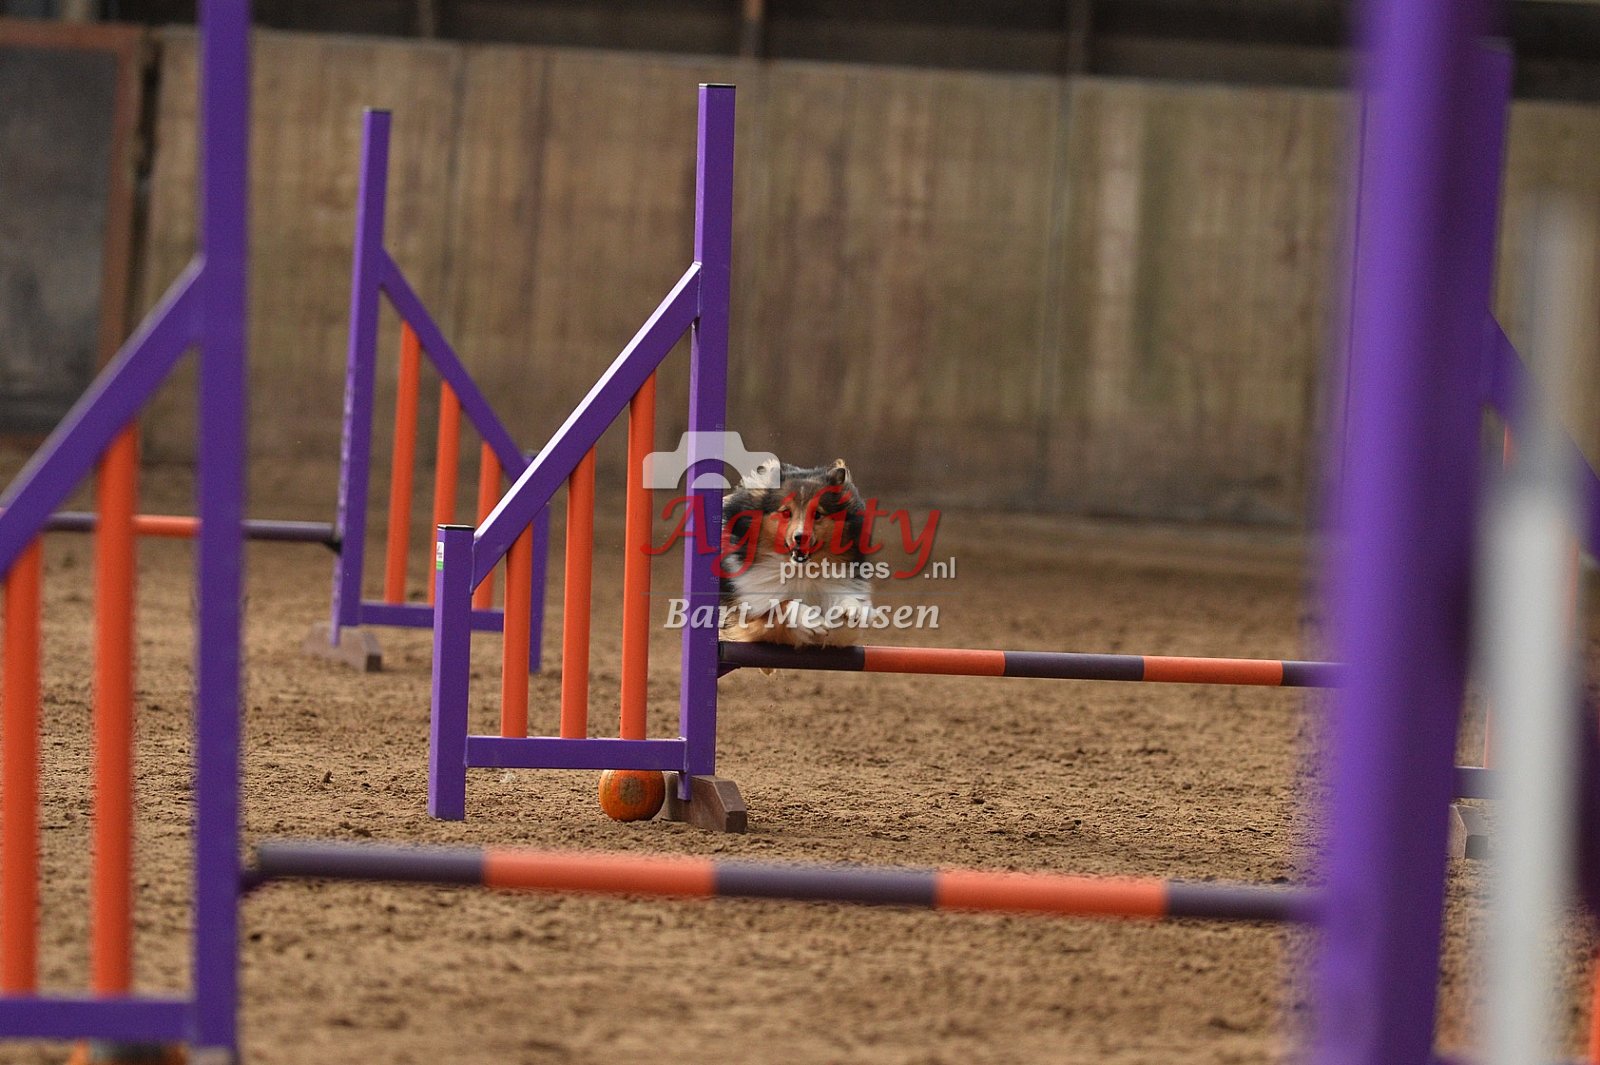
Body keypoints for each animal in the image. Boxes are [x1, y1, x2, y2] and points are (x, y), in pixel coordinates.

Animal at [719, 458, 873, 646]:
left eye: (817, 514)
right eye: (786, 512)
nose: (801, 537)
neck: (801, 571)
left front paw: (852, 608)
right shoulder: (747, 622)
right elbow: (781, 605)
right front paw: (810, 618)